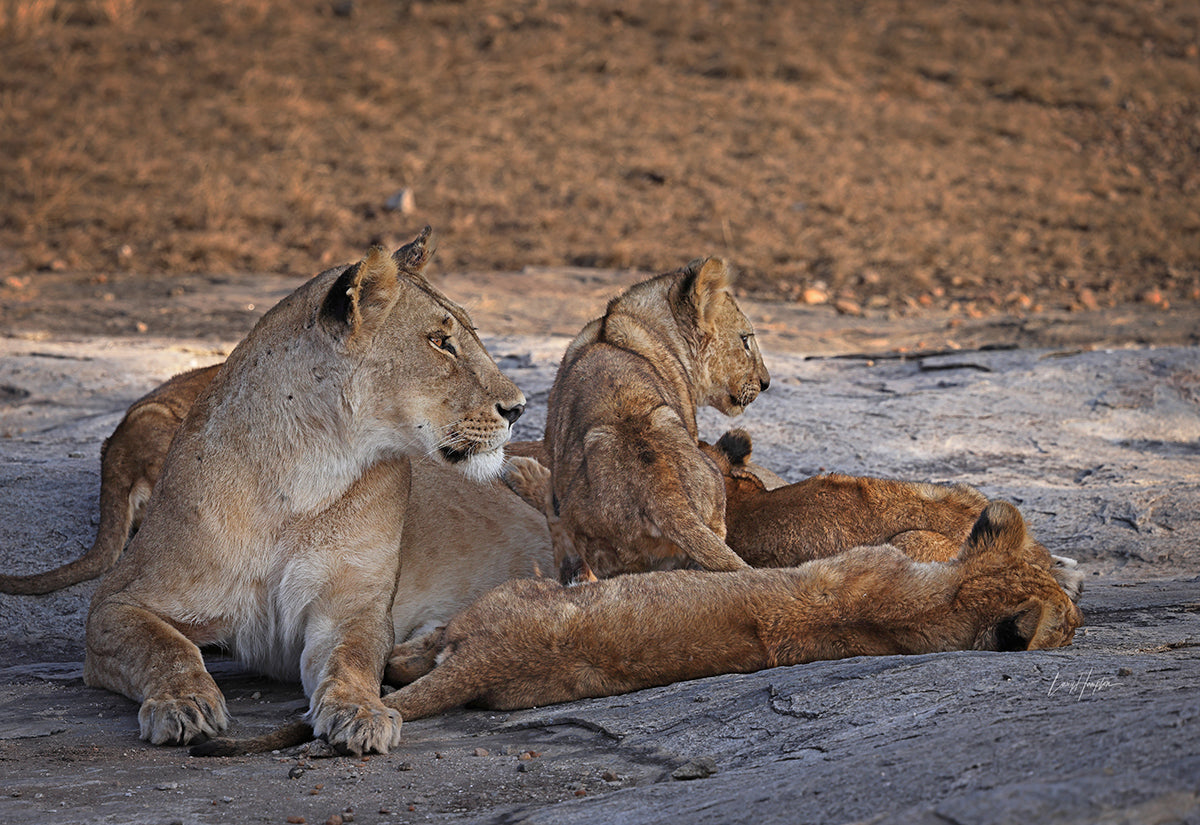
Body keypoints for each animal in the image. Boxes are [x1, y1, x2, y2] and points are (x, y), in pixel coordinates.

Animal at [81, 228, 531, 755]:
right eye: (441, 343)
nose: (519, 408)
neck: (306, 475)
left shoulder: (352, 607)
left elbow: (352, 659)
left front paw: (361, 711)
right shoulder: (117, 602)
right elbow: (164, 646)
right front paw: (181, 703)